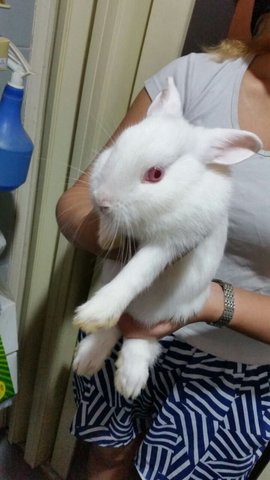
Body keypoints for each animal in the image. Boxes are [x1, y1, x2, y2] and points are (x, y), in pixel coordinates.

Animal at [72, 77, 262, 400]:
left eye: (156, 174)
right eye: (116, 148)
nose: (102, 200)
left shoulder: (172, 242)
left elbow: (137, 272)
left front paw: (95, 312)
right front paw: (107, 237)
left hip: (168, 312)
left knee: (140, 338)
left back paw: (129, 380)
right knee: (117, 329)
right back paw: (87, 359)